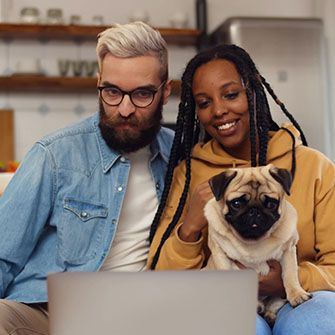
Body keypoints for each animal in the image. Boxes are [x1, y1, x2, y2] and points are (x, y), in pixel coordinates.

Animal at [205, 164, 312, 326]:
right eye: (237, 204)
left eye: (271, 204)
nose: (254, 211)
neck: (252, 240)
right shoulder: (220, 254)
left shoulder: (288, 250)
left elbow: (290, 275)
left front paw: (297, 294)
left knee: (272, 306)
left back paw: (269, 315)